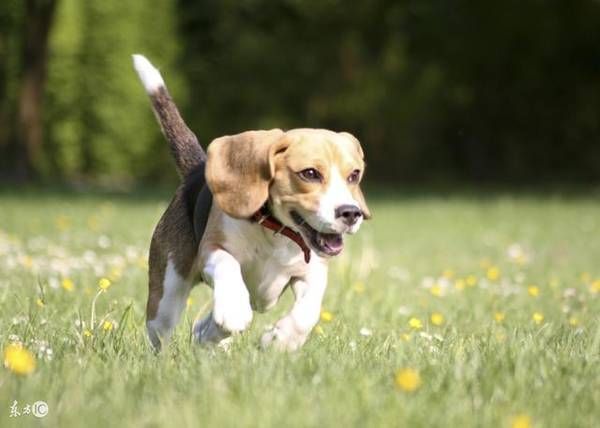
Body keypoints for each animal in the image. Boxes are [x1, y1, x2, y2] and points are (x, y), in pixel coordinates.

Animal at [132, 54, 370, 352]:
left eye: (354, 175)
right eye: (310, 173)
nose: (351, 213)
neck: (277, 232)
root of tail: (196, 169)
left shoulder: (313, 271)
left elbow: (308, 312)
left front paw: (280, 339)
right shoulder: (212, 249)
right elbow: (228, 265)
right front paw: (234, 311)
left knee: (204, 328)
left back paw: (209, 338)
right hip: (167, 294)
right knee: (162, 331)